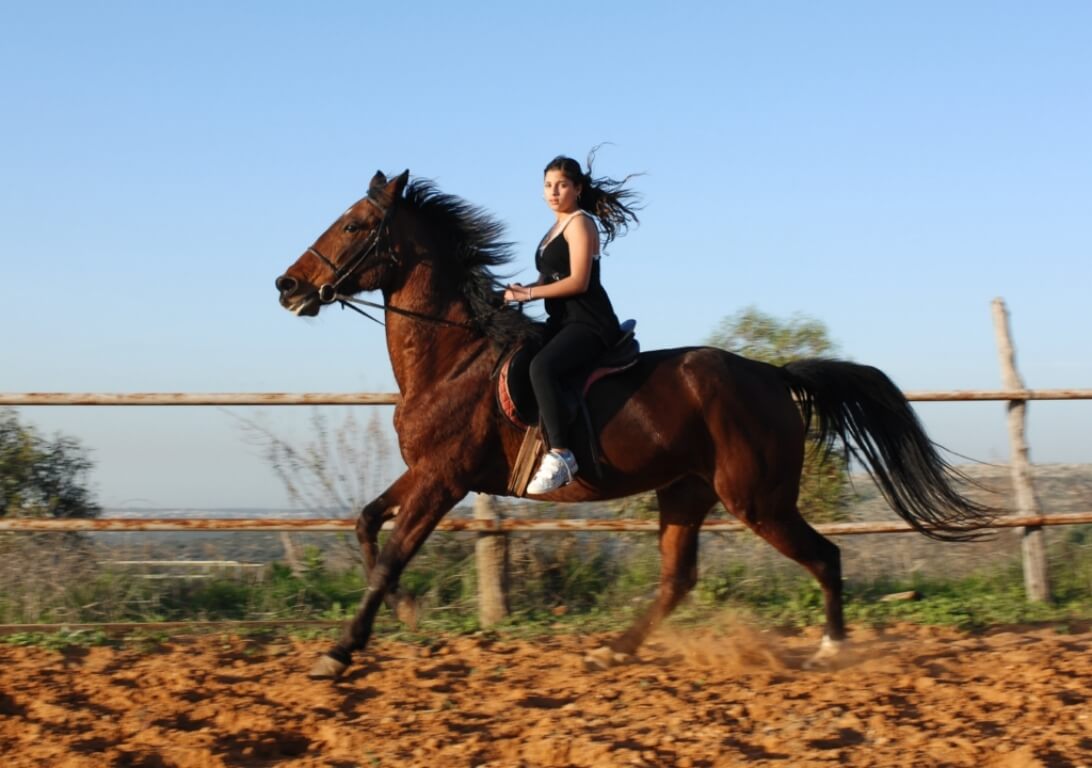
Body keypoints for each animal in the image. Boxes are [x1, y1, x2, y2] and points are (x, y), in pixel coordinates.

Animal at [270, 169, 991, 677]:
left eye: (355, 224)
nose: (287, 287)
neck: (453, 358)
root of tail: (771, 374)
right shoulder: (426, 471)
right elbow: (366, 525)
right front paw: (404, 613)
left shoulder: (443, 478)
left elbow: (390, 554)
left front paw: (339, 651)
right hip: (686, 492)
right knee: (678, 580)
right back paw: (614, 651)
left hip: (756, 498)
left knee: (824, 556)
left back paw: (830, 650)